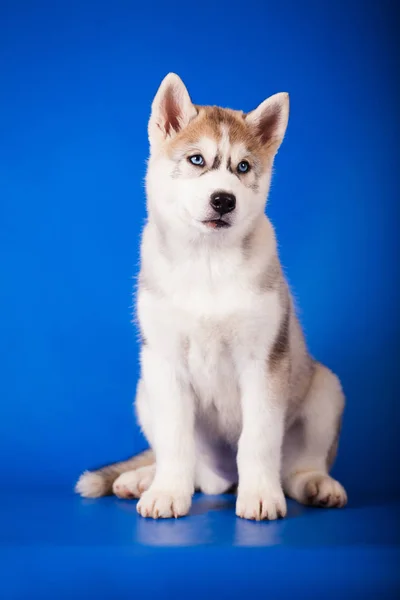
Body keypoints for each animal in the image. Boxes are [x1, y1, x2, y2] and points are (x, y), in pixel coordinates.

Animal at [76, 72, 346, 516]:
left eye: (243, 167)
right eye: (197, 160)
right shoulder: (164, 361)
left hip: (326, 388)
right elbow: (175, 441)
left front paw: (260, 496)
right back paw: (142, 479)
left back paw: (315, 484)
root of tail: (224, 477)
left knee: (296, 467)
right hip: (144, 390)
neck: (207, 262)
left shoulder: (264, 362)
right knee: (198, 473)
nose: (223, 199)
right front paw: (167, 492)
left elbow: (258, 439)